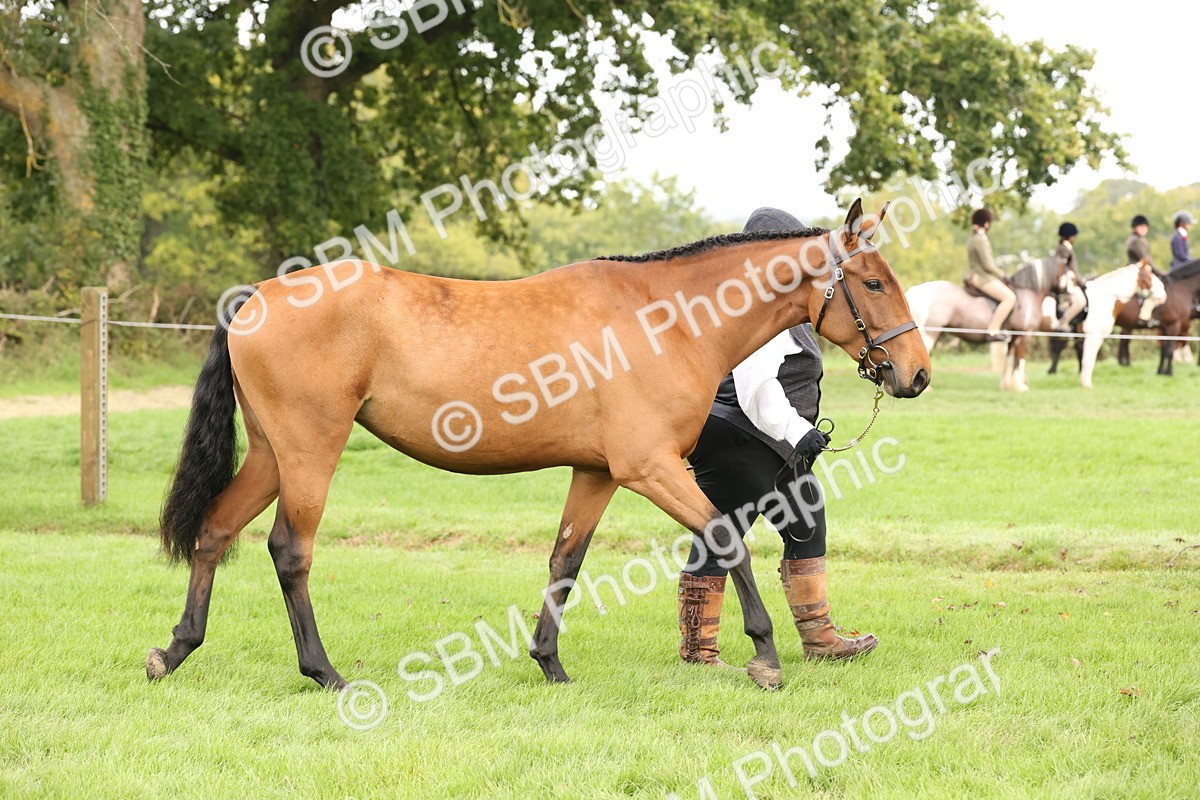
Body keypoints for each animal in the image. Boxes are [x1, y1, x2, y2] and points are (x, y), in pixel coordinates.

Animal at [145, 199, 931, 694]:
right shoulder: (650, 469)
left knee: (215, 530)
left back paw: (175, 650)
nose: (916, 372)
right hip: (311, 452)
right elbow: (726, 542)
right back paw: (325, 672)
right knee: (290, 551)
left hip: (272, 455)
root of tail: (257, 296)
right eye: (871, 282)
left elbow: (564, 563)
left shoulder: (597, 473)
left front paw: (549, 663)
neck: (665, 319)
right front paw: (766, 657)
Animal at [905, 256, 1066, 392]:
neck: (1027, 295)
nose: (1066, 301)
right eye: (1069, 272)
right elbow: (1019, 360)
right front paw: (1020, 386)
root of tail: (913, 291)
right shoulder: (1024, 335)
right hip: (929, 333)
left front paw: (1007, 386)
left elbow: (1010, 360)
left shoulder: (1013, 337)